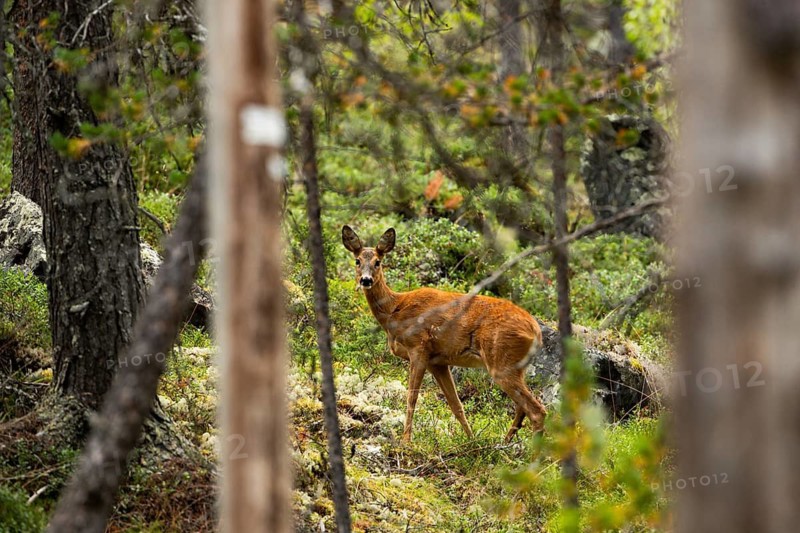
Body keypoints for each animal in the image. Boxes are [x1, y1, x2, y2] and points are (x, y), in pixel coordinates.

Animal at [342, 225, 547, 443]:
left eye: (377, 262)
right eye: (357, 261)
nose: (366, 280)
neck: (395, 310)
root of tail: (535, 331)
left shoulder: (419, 347)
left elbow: (411, 397)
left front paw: (406, 441)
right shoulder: (438, 362)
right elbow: (456, 406)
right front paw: (471, 441)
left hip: (502, 360)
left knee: (536, 410)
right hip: (516, 366)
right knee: (522, 407)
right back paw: (504, 443)